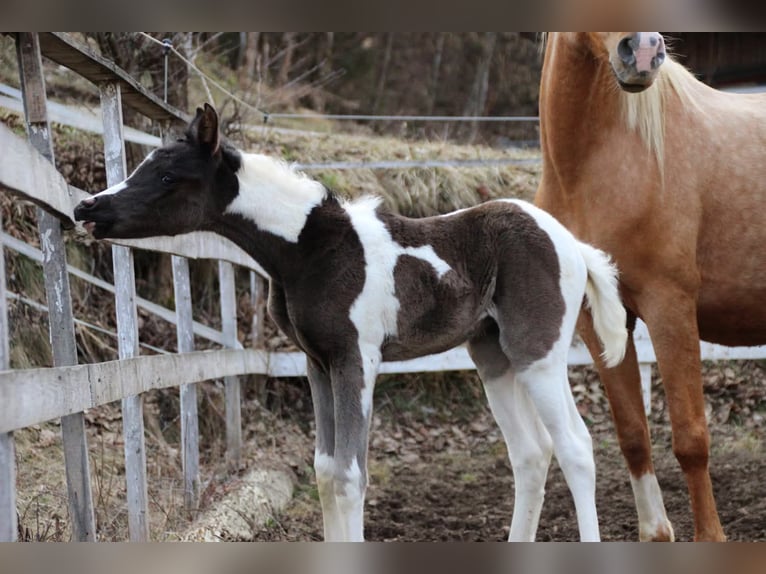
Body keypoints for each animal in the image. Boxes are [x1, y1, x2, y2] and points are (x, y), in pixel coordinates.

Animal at [74, 104, 628, 542]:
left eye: (169, 177)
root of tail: (571, 242)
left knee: (576, 447)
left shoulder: (355, 359)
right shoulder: (317, 363)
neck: (310, 250)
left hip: (538, 354)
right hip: (493, 357)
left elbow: (350, 475)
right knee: (531, 455)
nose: (86, 206)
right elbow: (325, 470)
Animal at [536, 32, 766, 542]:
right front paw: (655, 532)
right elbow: (633, 435)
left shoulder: (669, 307)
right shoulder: (601, 320)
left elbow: (690, 437)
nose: (642, 51)